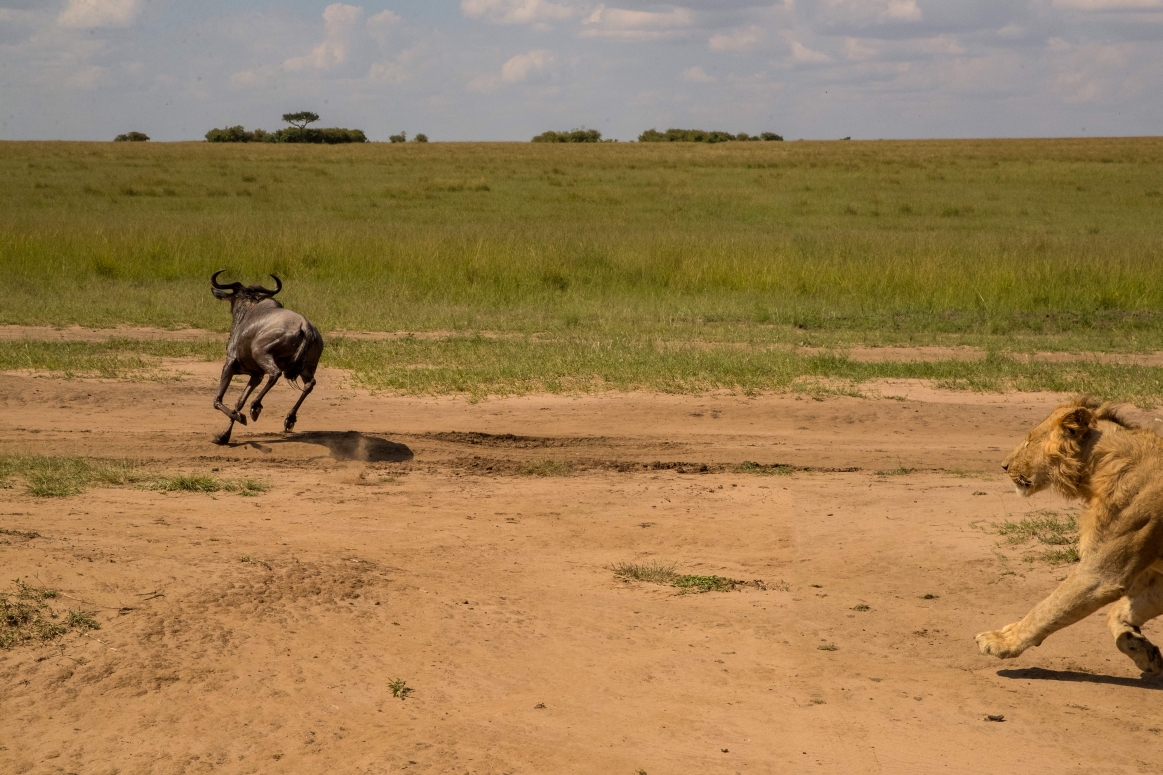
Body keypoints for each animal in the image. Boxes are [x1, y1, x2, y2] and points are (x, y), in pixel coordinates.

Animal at [972, 395, 1163, 674]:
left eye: (1029, 441)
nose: (1004, 465)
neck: (1100, 469)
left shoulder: (1101, 574)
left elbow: (1047, 608)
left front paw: (1001, 642)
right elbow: (1118, 613)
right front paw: (1140, 649)